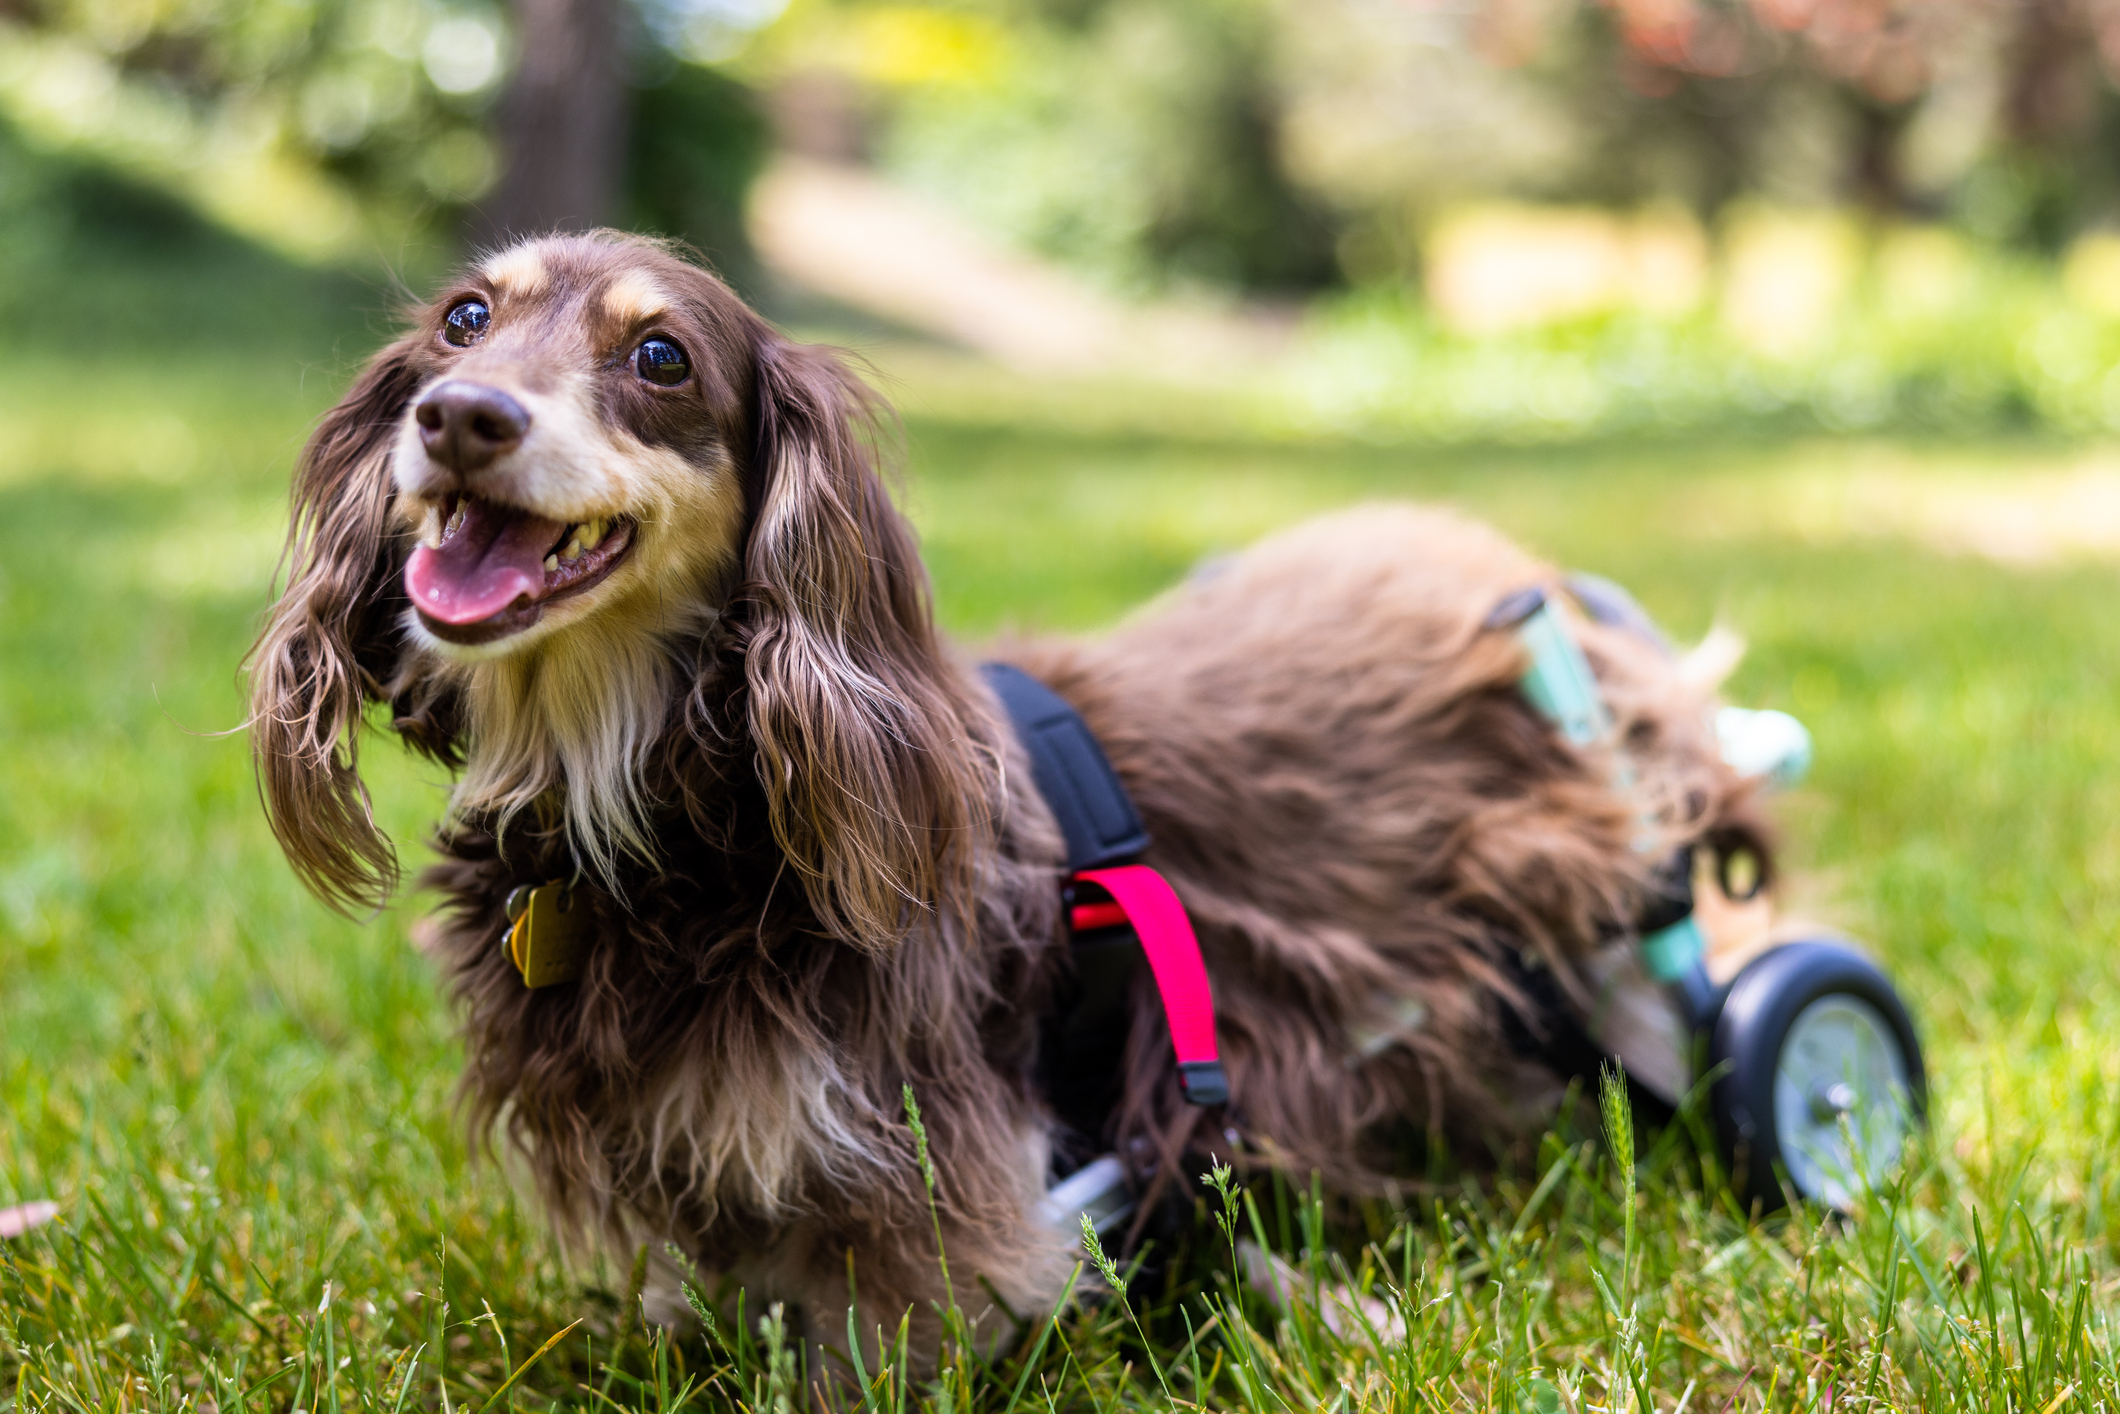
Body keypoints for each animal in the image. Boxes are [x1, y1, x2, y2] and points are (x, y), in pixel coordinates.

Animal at [248, 230, 1772, 1356]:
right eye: (463, 319)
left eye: (661, 355)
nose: (460, 417)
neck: (663, 809)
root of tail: (1533, 575)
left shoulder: (922, 1168)